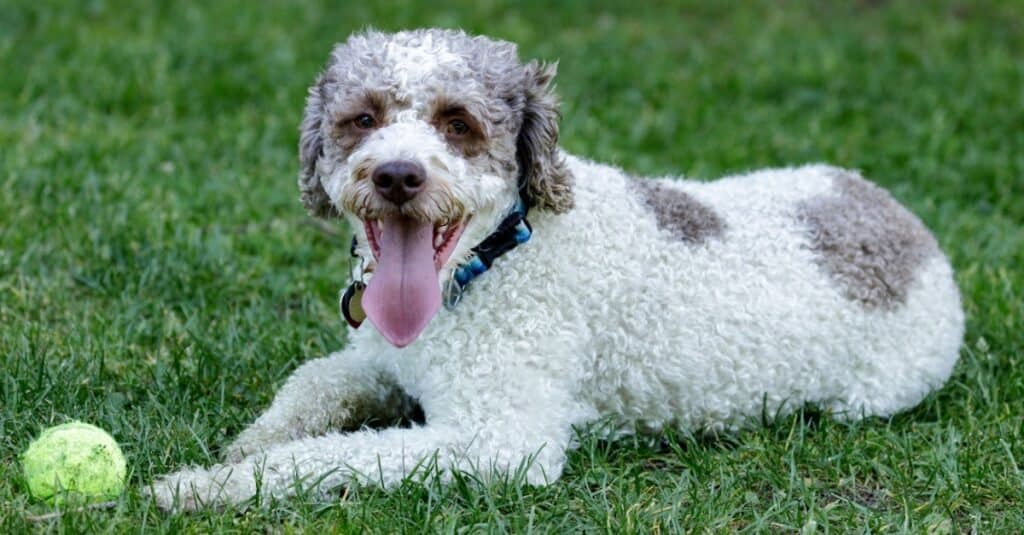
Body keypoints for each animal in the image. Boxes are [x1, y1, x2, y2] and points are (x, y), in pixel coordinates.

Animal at [149, 26, 958, 508]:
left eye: (458, 123)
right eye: (364, 117)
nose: (398, 176)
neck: (493, 262)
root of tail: (908, 226)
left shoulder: (500, 440)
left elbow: (329, 457)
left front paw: (206, 484)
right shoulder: (375, 361)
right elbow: (309, 385)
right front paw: (246, 442)